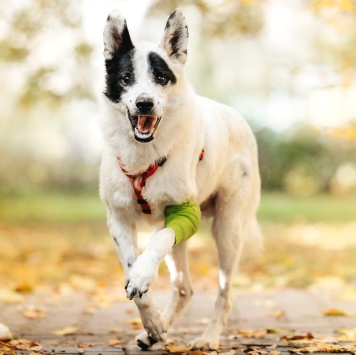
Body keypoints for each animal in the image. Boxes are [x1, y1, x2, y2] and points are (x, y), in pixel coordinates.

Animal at [98, 7, 262, 350]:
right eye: (126, 79)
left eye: (161, 78)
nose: (144, 103)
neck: (143, 155)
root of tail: (238, 117)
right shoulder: (119, 219)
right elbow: (132, 271)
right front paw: (152, 320)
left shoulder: (186, 212)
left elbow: (157, 242)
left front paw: (143, 276)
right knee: (184, 287)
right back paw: (154, 332)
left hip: (228, 229)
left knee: (225, 292)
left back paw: (209, 338)